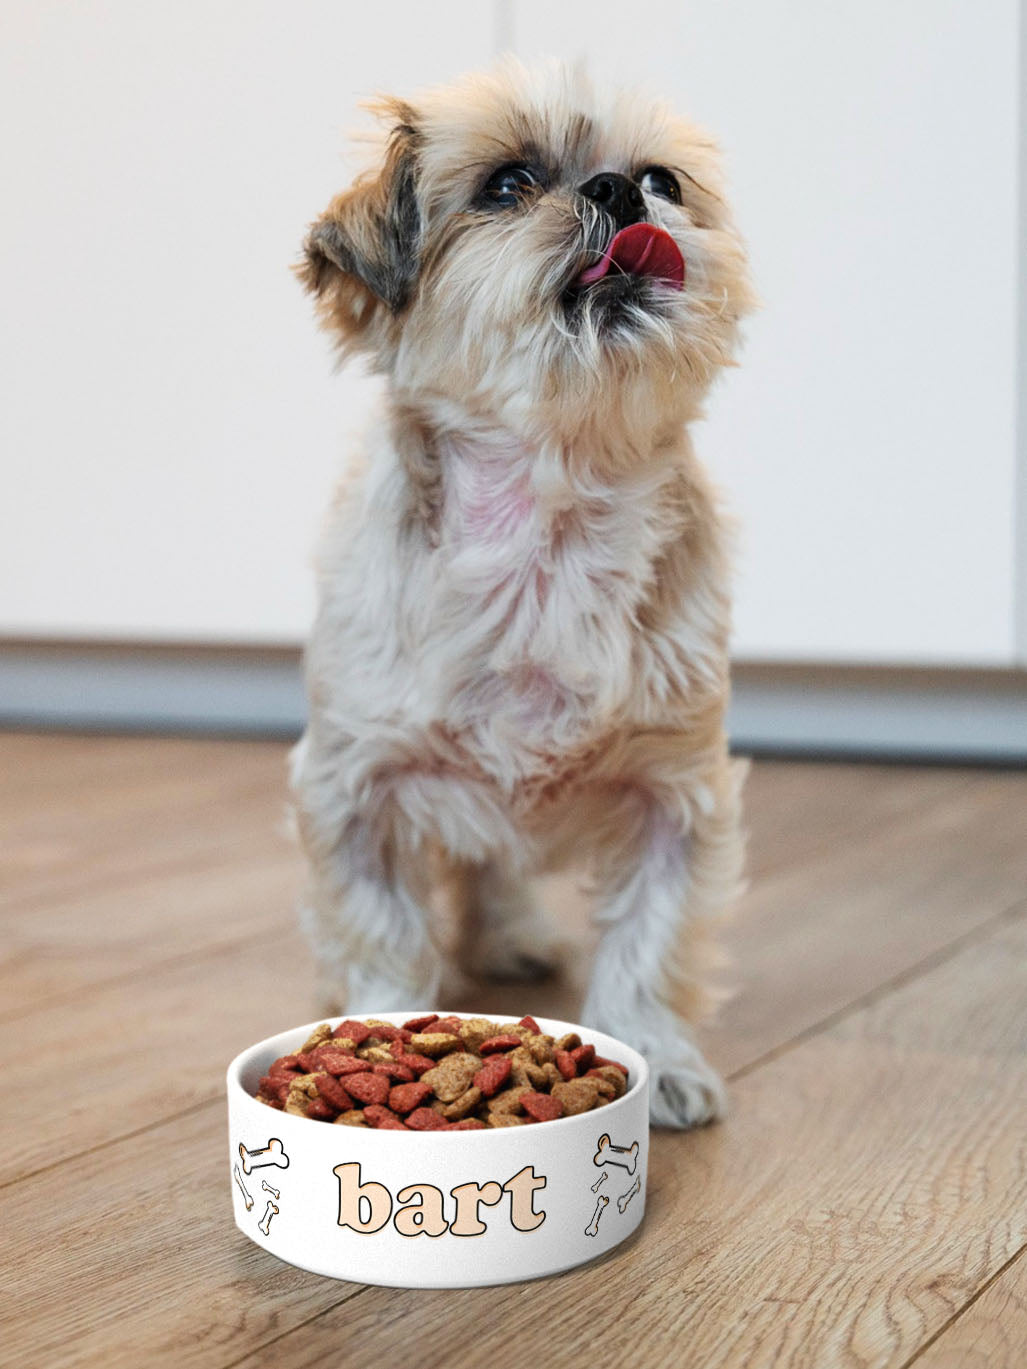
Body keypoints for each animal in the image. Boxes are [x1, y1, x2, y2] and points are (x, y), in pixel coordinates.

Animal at [290, 56, 755, 1122]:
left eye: (663, 179)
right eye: (507, 185)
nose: (619, 192)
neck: (546, 536)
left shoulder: (675, 794)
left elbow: (649, 945)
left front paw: (658, 1061)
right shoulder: (356, 787)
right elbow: (383, 929)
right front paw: (377, 1032)